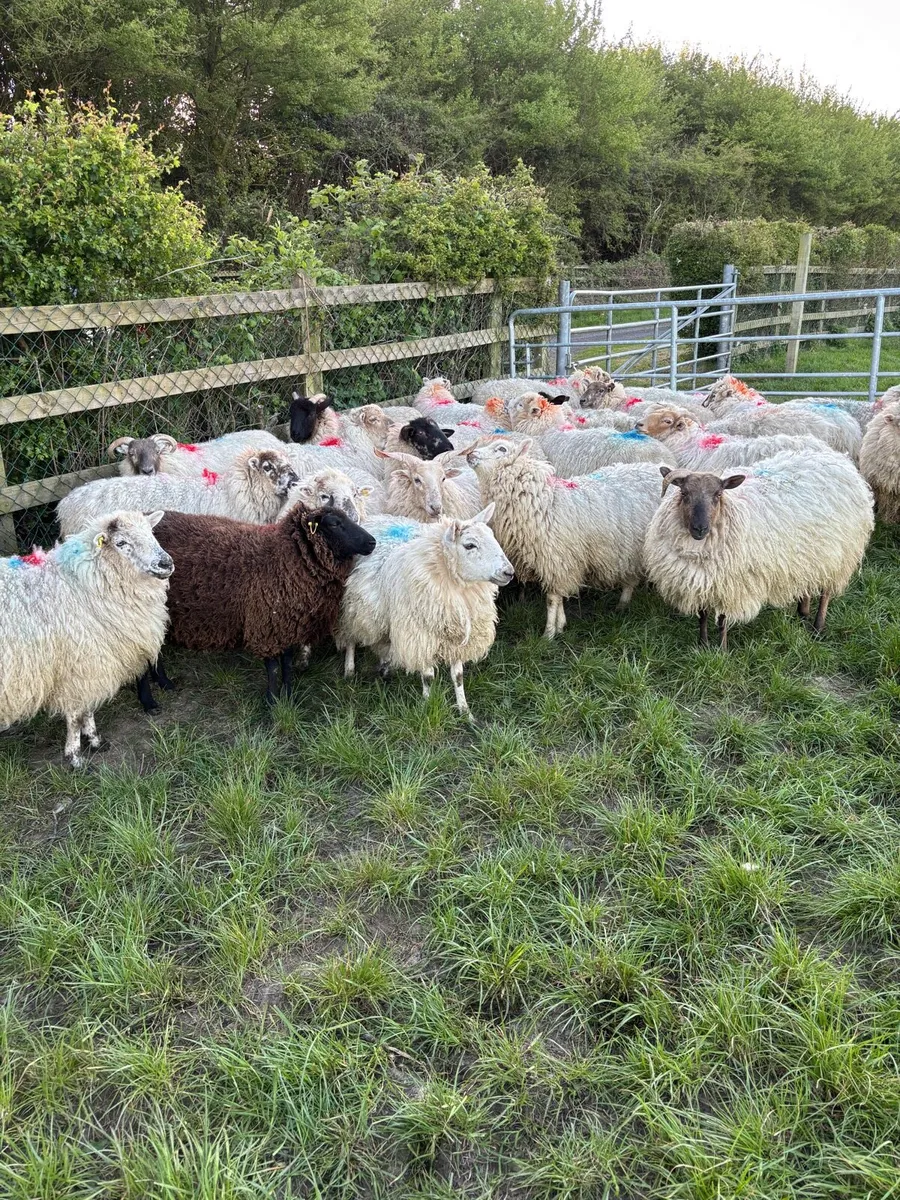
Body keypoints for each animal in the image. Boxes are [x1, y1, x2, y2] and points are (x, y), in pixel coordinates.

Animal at [0, 511, 173, 766]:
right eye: (121, 542)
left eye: (151, 532)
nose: (166, 563)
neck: (84, 582)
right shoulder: (78, 667)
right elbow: (75, 715)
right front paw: (74, 755)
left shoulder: (92, 665)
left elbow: (88, 709)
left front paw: (94, 740)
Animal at [146, 504, 376, 707]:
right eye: (335, 523)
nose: (372, 542)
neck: (285, 558)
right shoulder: (267, 624)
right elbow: (273, 667)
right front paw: (272, 701)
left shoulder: (287, 623)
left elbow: (287, 663)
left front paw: (288, 695)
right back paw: (164, 683)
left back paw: (160, 681)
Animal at [336, 507, 514, 717]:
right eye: (470, 545)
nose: (509, 572)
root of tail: (374, 518)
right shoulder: (421, 636)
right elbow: (428, 677)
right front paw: (427, 706)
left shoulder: (457, 638)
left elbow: (458, 676)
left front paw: (465, 711)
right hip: (354, 608)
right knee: (351, 636)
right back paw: (349, 669)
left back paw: (385, 667)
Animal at [464, 438, 665, 637]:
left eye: (501, 449)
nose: (469, 454)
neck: (542, 502)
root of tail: (658, 467)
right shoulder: (559, 562)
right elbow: (559, 598)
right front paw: (561, 625)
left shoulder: (557, 558)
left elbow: (552, 599)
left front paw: (549, 633)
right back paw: (623, 604)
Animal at [643, 451, 874, 648]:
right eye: (684, 493)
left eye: (718, 495)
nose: (700, 528)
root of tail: (839, 460)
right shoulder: (702, 581)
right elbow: (703, 616)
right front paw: (703, 645)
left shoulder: (732, 585)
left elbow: (722, 621)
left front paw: (721, 651)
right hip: (809, 555)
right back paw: (803, 612)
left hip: (838, 554)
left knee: (826, 592)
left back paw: (817, 627)